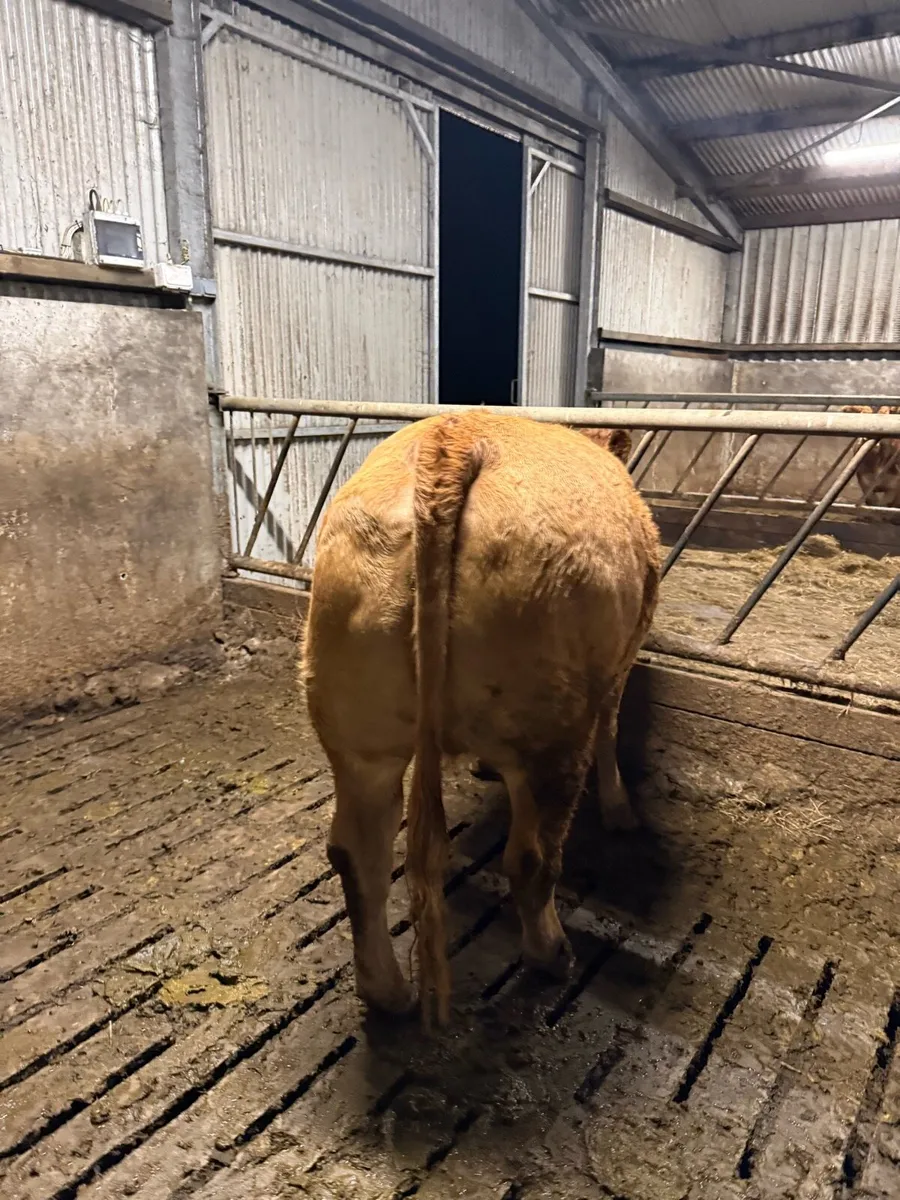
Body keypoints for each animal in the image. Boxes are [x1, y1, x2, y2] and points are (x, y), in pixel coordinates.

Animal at [301, 410, 659, 1025]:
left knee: (356, 853)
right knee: (533, 856)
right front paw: (619, 809)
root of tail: (454, 438)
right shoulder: (620, 663)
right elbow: (611, 730)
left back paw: (388, 993)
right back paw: (551, 955)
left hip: (357, 733)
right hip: (551, 726)